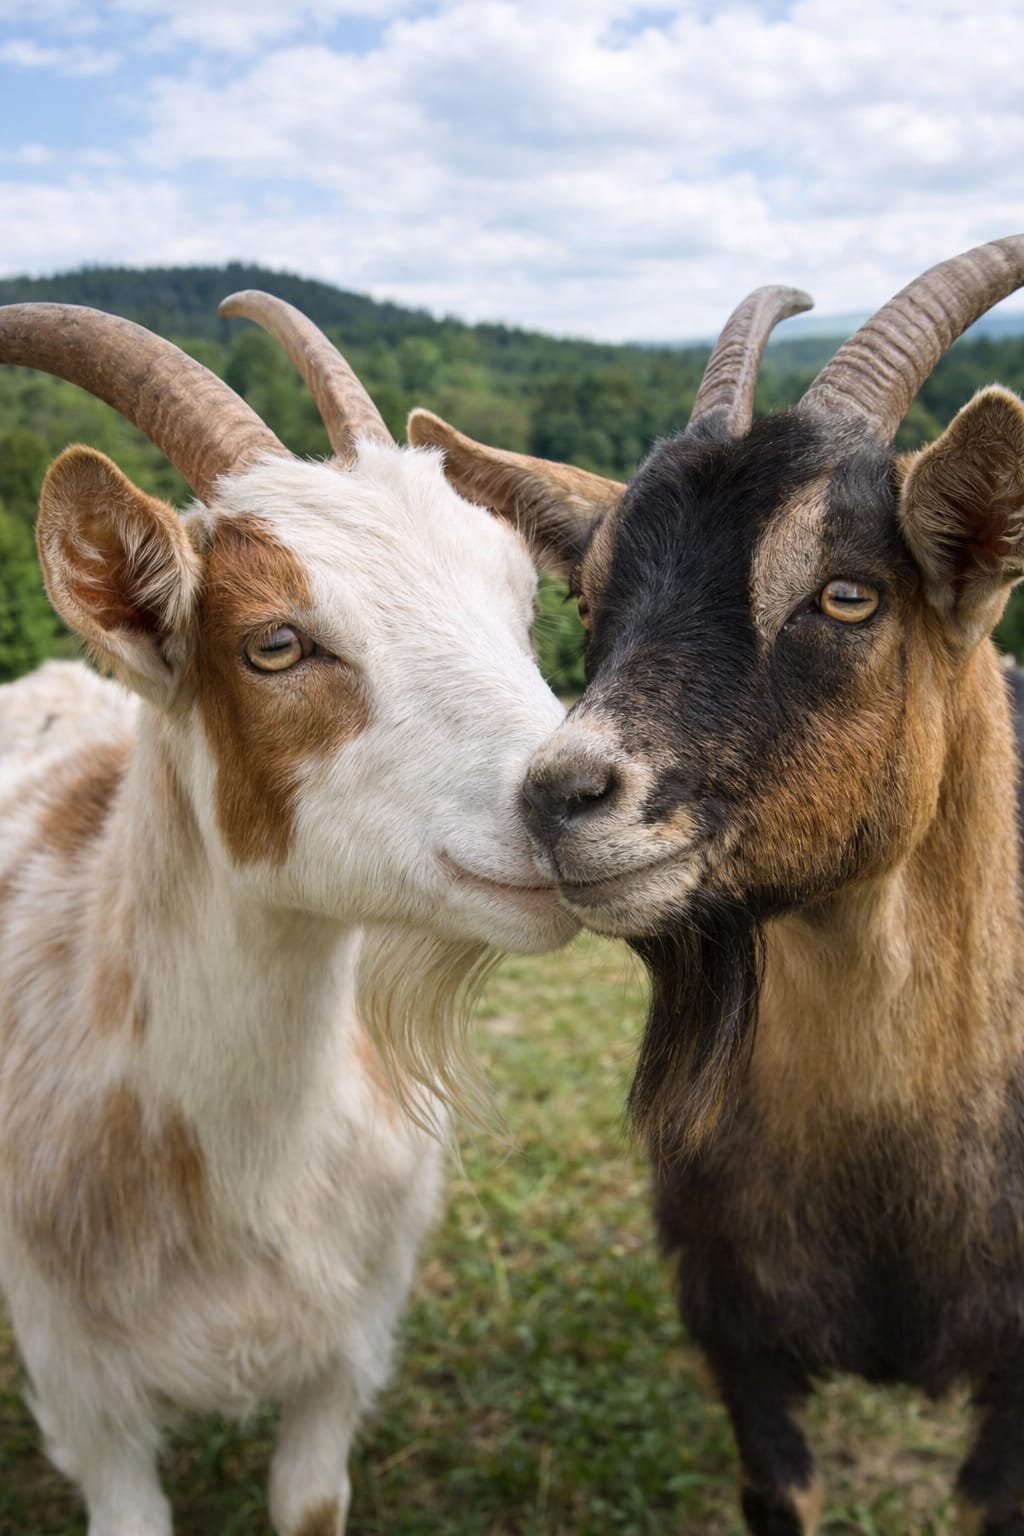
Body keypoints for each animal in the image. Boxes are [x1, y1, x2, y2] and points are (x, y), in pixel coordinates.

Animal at [0, 292, 579, 1536]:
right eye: (275, 644)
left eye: (519, 603)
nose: (578, 797)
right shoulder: (80, 1383)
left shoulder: (345, 1342)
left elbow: (309, 1501)